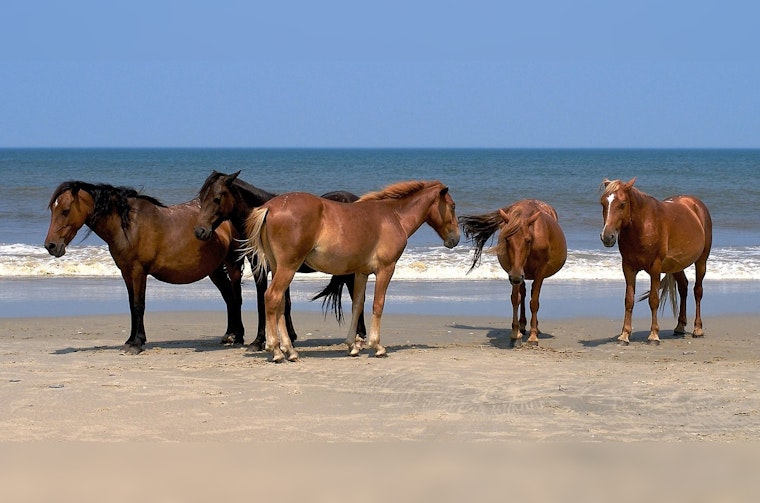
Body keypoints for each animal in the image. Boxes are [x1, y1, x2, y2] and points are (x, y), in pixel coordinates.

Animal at [44, 181, 244, 354]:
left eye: (65, 210)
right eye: (53, 209)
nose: (50, 246)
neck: (129, 226)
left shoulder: (138, 271)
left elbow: (139, 305)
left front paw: (137, 343)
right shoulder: (126, 273)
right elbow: (131, 306)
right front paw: (130, 340)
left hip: (233, 264)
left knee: (236, 297)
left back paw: (239, 337)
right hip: (214, 269)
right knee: (228, 297)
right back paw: (229, 335)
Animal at [194, 170, 367, 350]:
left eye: (217, 198)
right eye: (201, 198)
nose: (200, 231)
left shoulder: (266, 270)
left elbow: (263, 302)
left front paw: (259, 341)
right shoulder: (272, 268)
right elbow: (284, 303)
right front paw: (289, 337)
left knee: (358, 298)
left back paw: (360, 336)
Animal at [243, 180, 460, 362]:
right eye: (453, 206)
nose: (455, 239)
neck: (394, 216)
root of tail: (270, 207)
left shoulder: (361, 273)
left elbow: (357, 305)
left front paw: (352, 346)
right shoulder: (385, 269)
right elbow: (378, 304)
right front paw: (377, 346)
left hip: (278, 267)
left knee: (278, 304)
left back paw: (290, 350)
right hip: (288, 267)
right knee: (272, 297)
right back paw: (276, 350)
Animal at [460, 199, 567, 347]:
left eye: (528, 240)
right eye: (507, 239)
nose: (516, 276)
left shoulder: (539, 272)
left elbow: (534, 302)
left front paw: (533, 336)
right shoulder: (514, 271)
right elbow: (516, 299)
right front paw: (515, 334)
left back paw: (534, 328)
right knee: (523, 293)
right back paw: (522, 326)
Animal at [599, 178, 712, 345]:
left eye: (622, 203)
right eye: (603, 203)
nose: (607, 237)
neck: (643, 225)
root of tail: (696, 204)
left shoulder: (655, 268)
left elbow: (653, 299)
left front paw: (653, 335)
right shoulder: (628, 267)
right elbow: (629, 300)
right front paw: (624, 334)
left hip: (701, 261)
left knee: (697, 291)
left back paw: (697, 329)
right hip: (677, 265)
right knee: (683, 288)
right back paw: (680, 326)